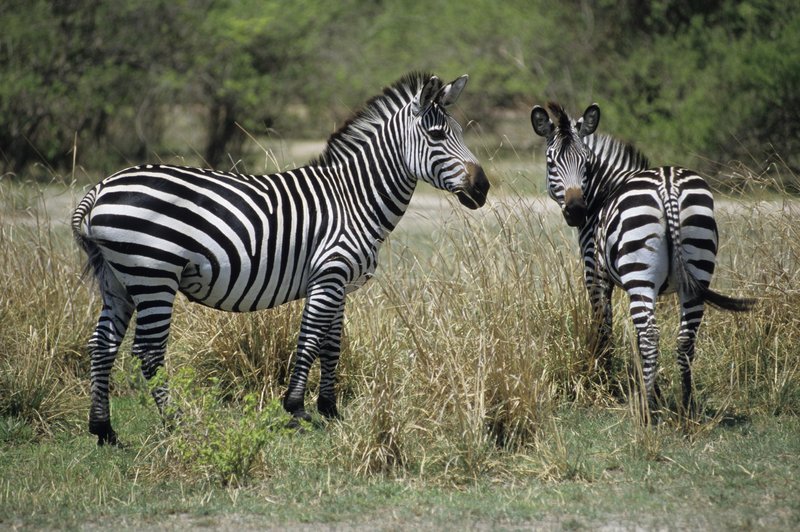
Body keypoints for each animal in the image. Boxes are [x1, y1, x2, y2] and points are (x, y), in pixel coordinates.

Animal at [73, 70, 488, 444]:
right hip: (153, 274)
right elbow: (309, 340)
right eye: (437, 135)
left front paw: (330, 410)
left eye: (460, 133)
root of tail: (99, 189)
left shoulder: (337, 282)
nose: (482, 188)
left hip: (118, 279)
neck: (354, 198)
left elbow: (332, 344)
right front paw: (296, 408)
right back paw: (177, 425)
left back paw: (104, 430)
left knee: (102, 344)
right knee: (148, 351)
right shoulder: (328, 274)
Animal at [528, 101, 752, 416]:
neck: (604, 191)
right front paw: (650, 387)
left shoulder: (595, 271)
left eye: (586, 163)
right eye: (551, 164)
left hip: (639, 274)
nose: (576, 212)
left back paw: (648, 409)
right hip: (695, 267)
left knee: (649, 335)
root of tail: (668, 187)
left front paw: (602, 379)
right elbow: (630, 334)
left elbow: (603, 324)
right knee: (683, 338)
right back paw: (685, 406)